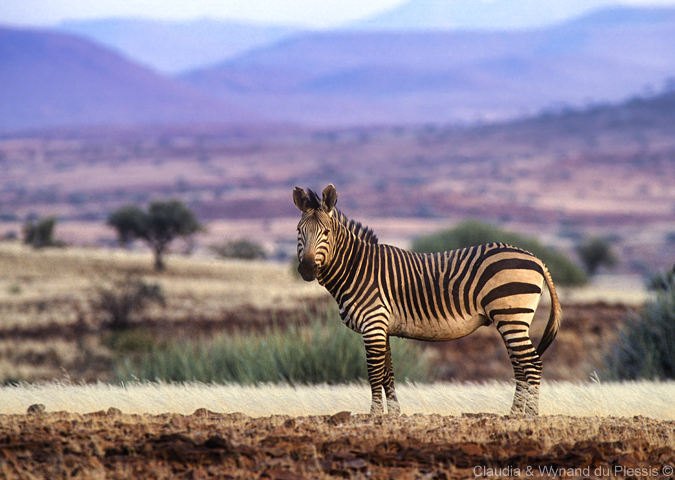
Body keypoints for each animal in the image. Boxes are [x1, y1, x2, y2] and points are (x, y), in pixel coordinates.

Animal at [294, 184, 564, 416]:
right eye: (299, 231)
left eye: (326, 232)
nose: (307, 268)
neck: (356, 267)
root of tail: (536, 258)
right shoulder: (384, 328)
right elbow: (388, 374)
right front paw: (394, 415)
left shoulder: (373, 324)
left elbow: (374, 373)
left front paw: (375, 416)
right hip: (511, 320)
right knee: (520, 365)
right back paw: (513, 415)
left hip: (511, 315)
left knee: (532, 363)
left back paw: (531, 416)